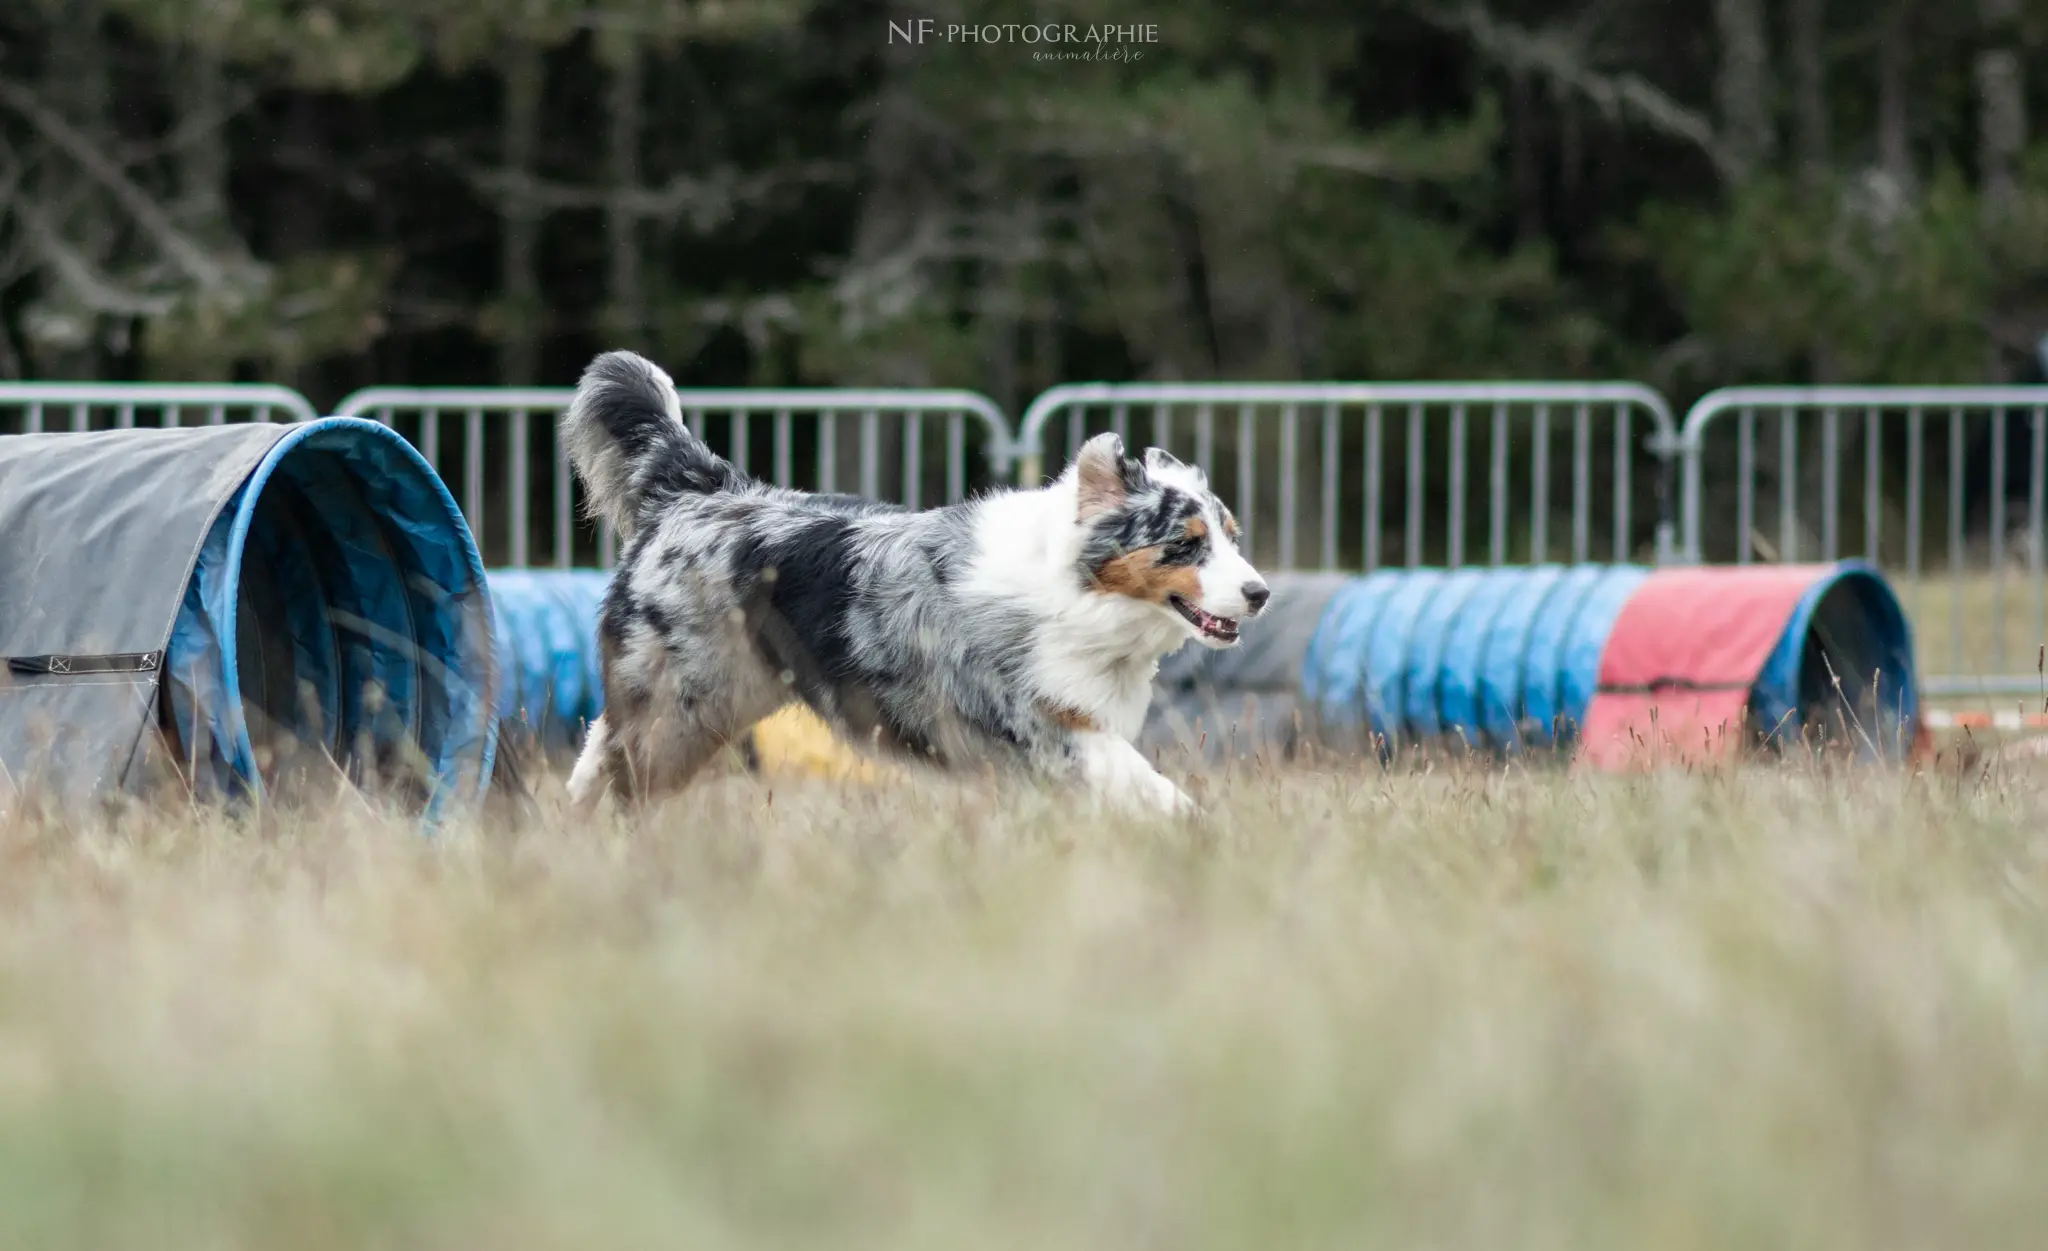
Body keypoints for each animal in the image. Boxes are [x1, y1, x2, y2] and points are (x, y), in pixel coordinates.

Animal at [561, 350, 1261, 810]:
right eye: (1185, 544)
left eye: (1232, 537)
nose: (1260, 594)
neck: (1078, 597)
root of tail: (696, 490)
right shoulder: (1039, 724)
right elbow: (1152, 788)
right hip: (681, 705)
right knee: (626, 769)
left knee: (598, 753)